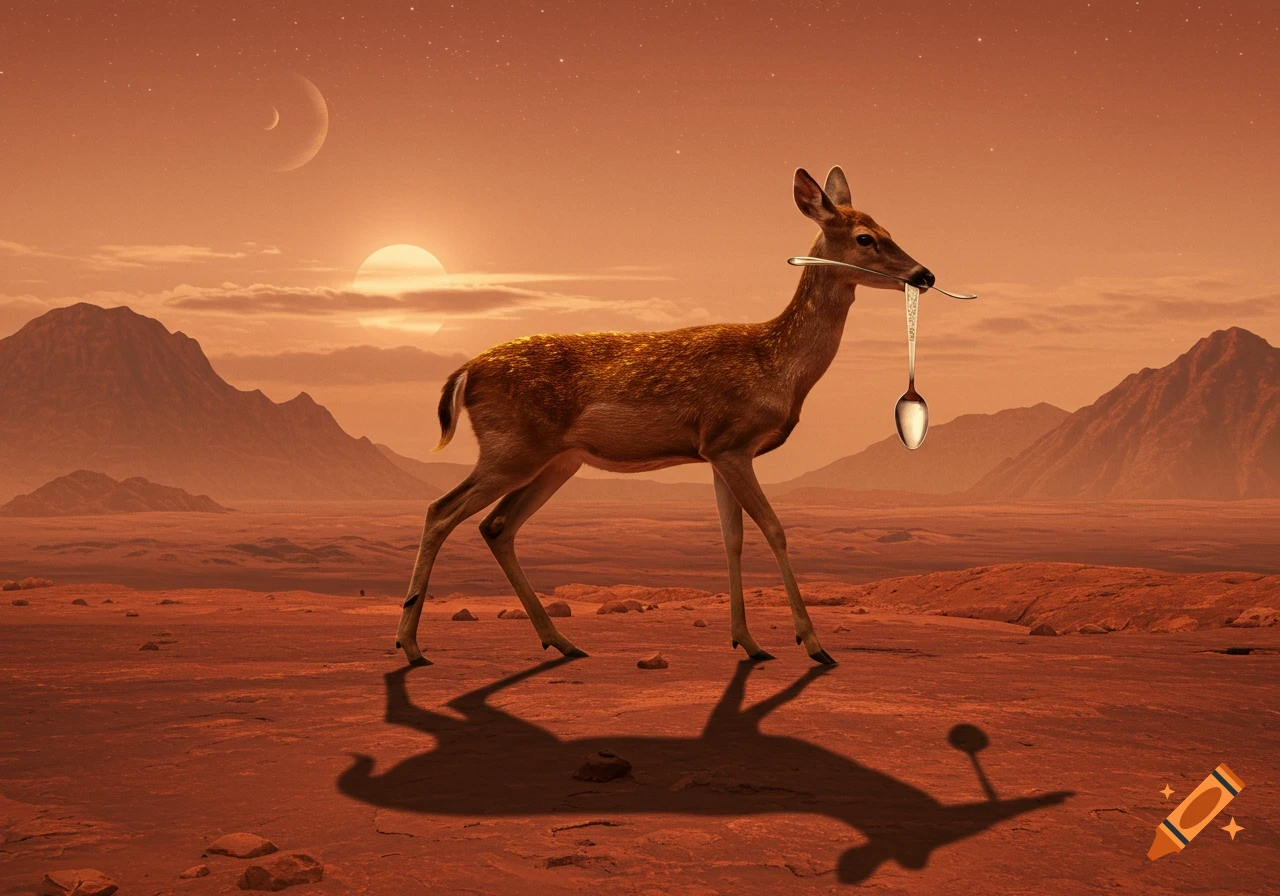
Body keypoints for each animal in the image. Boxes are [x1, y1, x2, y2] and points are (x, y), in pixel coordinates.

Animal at [395, 166, 937, 667]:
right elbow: (775, 529)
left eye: (888, 227)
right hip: (512, 449)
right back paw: (412, 646)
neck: (777, 365)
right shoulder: (730, 441)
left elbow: (732, 539)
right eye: (866, 237)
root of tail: (465, 372)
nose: (925, 275)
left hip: (557, 460)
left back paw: (563, 641)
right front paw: (813, 644)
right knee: (441, 510)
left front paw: (749, 642)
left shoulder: (717, 453)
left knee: (496, 525)